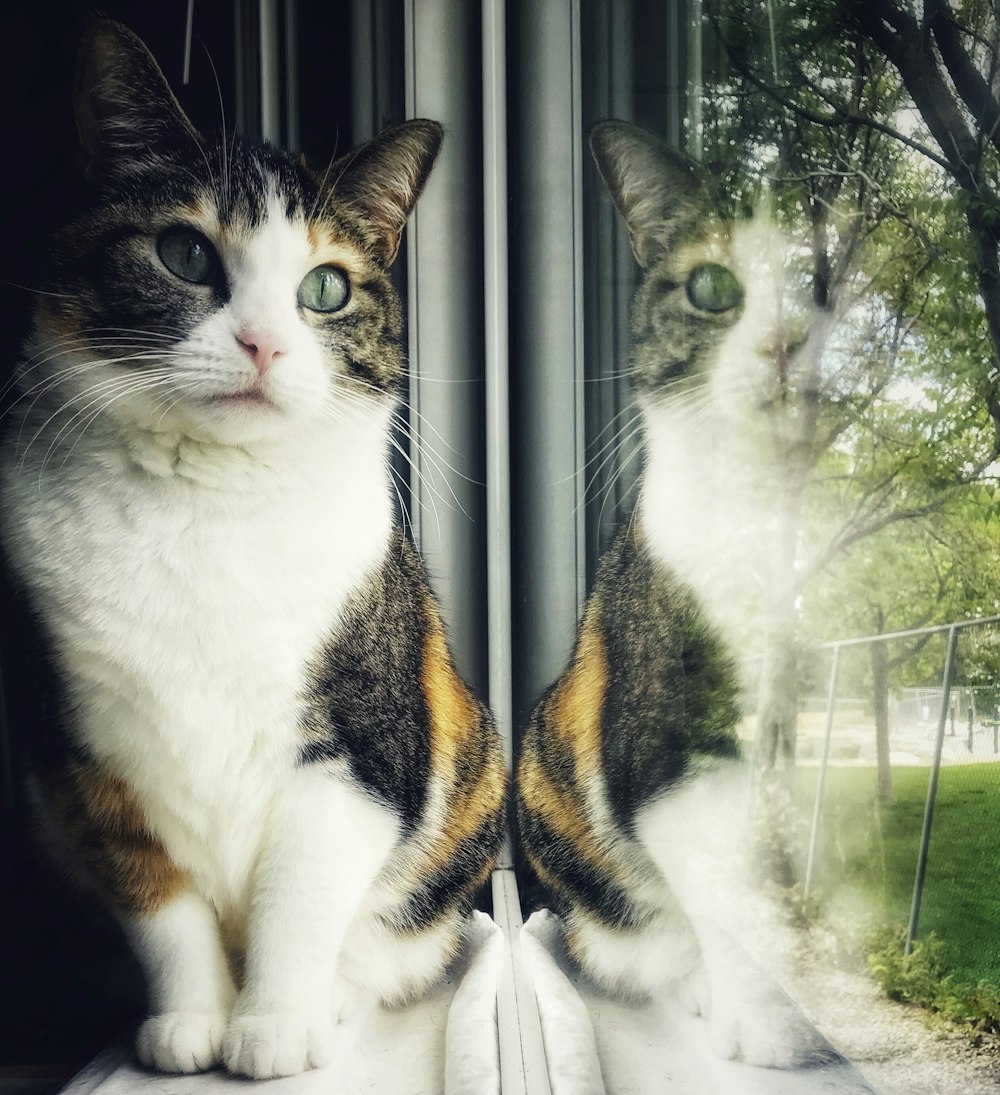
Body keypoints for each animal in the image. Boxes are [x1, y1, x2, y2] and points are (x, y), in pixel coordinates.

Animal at [0, 21, 503, 1081]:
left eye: (327, 287)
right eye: (184, 252)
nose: (266, 343)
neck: (206, 505)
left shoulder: (354, 745)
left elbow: (299, 896)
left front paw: (272, 1023)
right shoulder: (87, 757)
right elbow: (160, 903)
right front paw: (191, 1024)